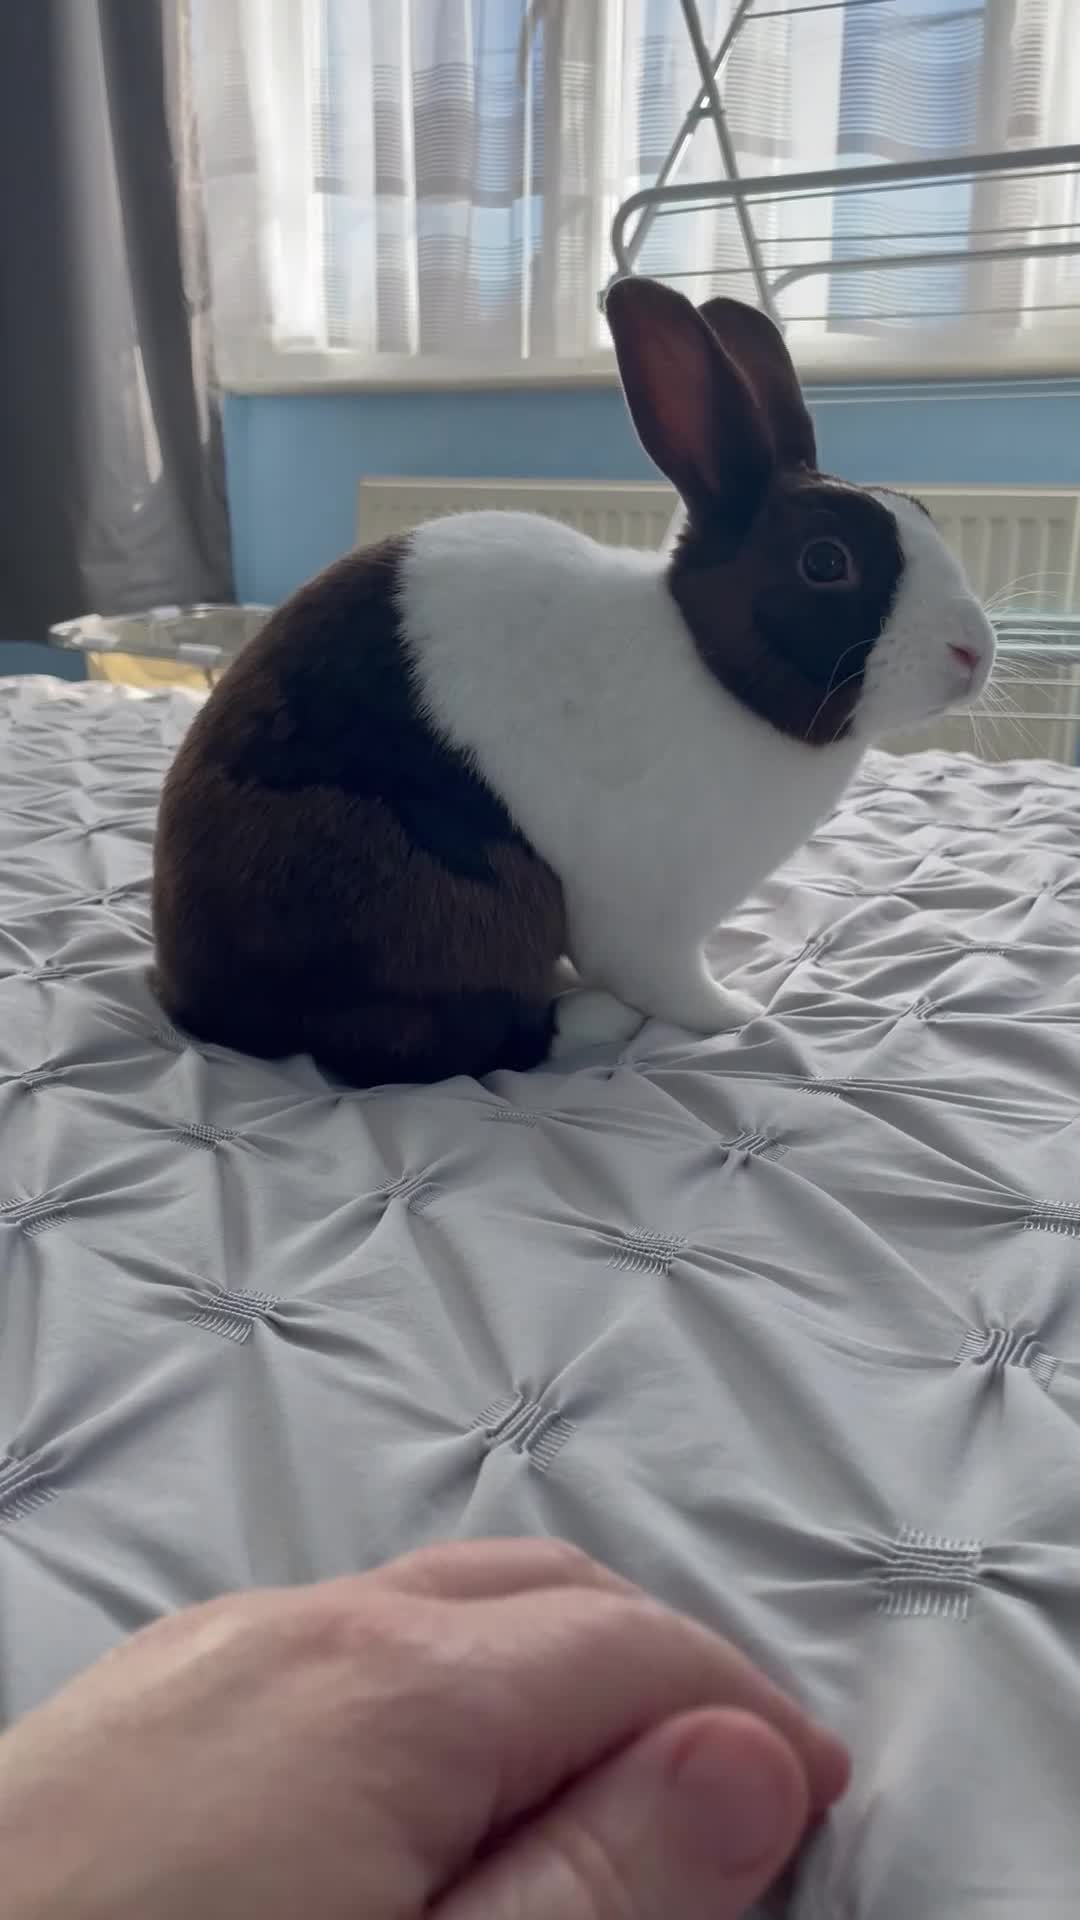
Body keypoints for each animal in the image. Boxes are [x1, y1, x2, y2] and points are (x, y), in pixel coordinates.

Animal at [152, 275, 995, 1087]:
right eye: (825, 561)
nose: (975, 651)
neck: (712, 670)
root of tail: (194, 1000)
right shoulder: (651, 917)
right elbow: (668, 982)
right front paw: (737, 1013)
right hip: (454, 895)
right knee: (417, 1046)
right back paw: (594, 1019)